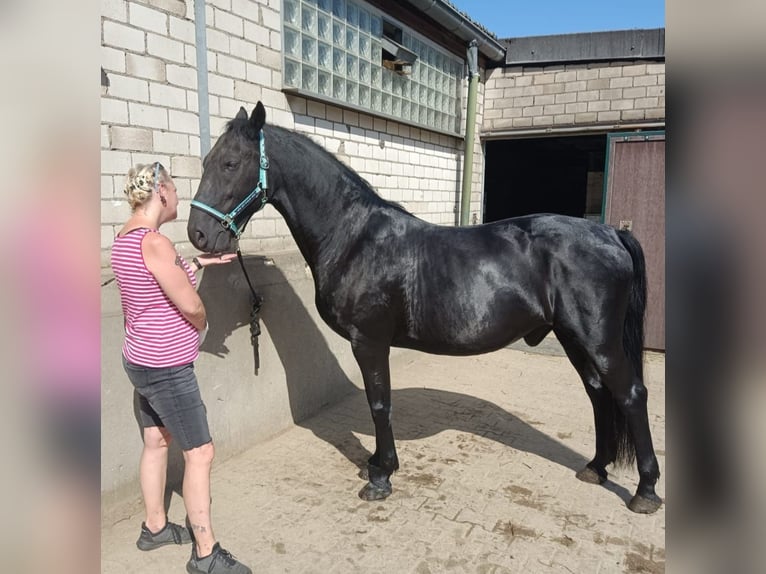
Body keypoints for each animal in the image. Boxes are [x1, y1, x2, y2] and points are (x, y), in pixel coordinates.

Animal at [187, 102, 662, 514]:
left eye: (231, 163)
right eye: (208, 160)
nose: (198, 234)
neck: (354, 238)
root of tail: (610, 233)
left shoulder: (369, 342)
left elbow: (379, 405)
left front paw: (381, 477)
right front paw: (376, 465)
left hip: (597, 340)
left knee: (630, 394)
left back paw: (645, 491)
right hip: (572, 338)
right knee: (598, 392)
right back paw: (596, 468)